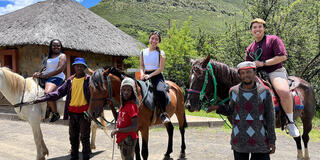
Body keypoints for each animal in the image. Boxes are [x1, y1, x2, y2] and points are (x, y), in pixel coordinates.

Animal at [185, 54, 316, 160]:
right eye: (190, 77)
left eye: (201, 77)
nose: (189, 105)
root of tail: (307, 84)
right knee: (297, 137)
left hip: (307, 119)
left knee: (305, 137)